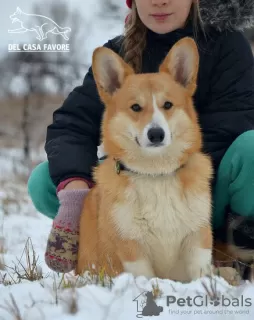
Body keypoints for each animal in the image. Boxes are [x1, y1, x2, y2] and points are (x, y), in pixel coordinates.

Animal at [76, 37, 214, 282]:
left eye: (167, 105)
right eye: (136, 107)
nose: (156, 134)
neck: (156, 173)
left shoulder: (197, 238)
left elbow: (201, 275)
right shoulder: (132, 249)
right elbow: (146, 279)